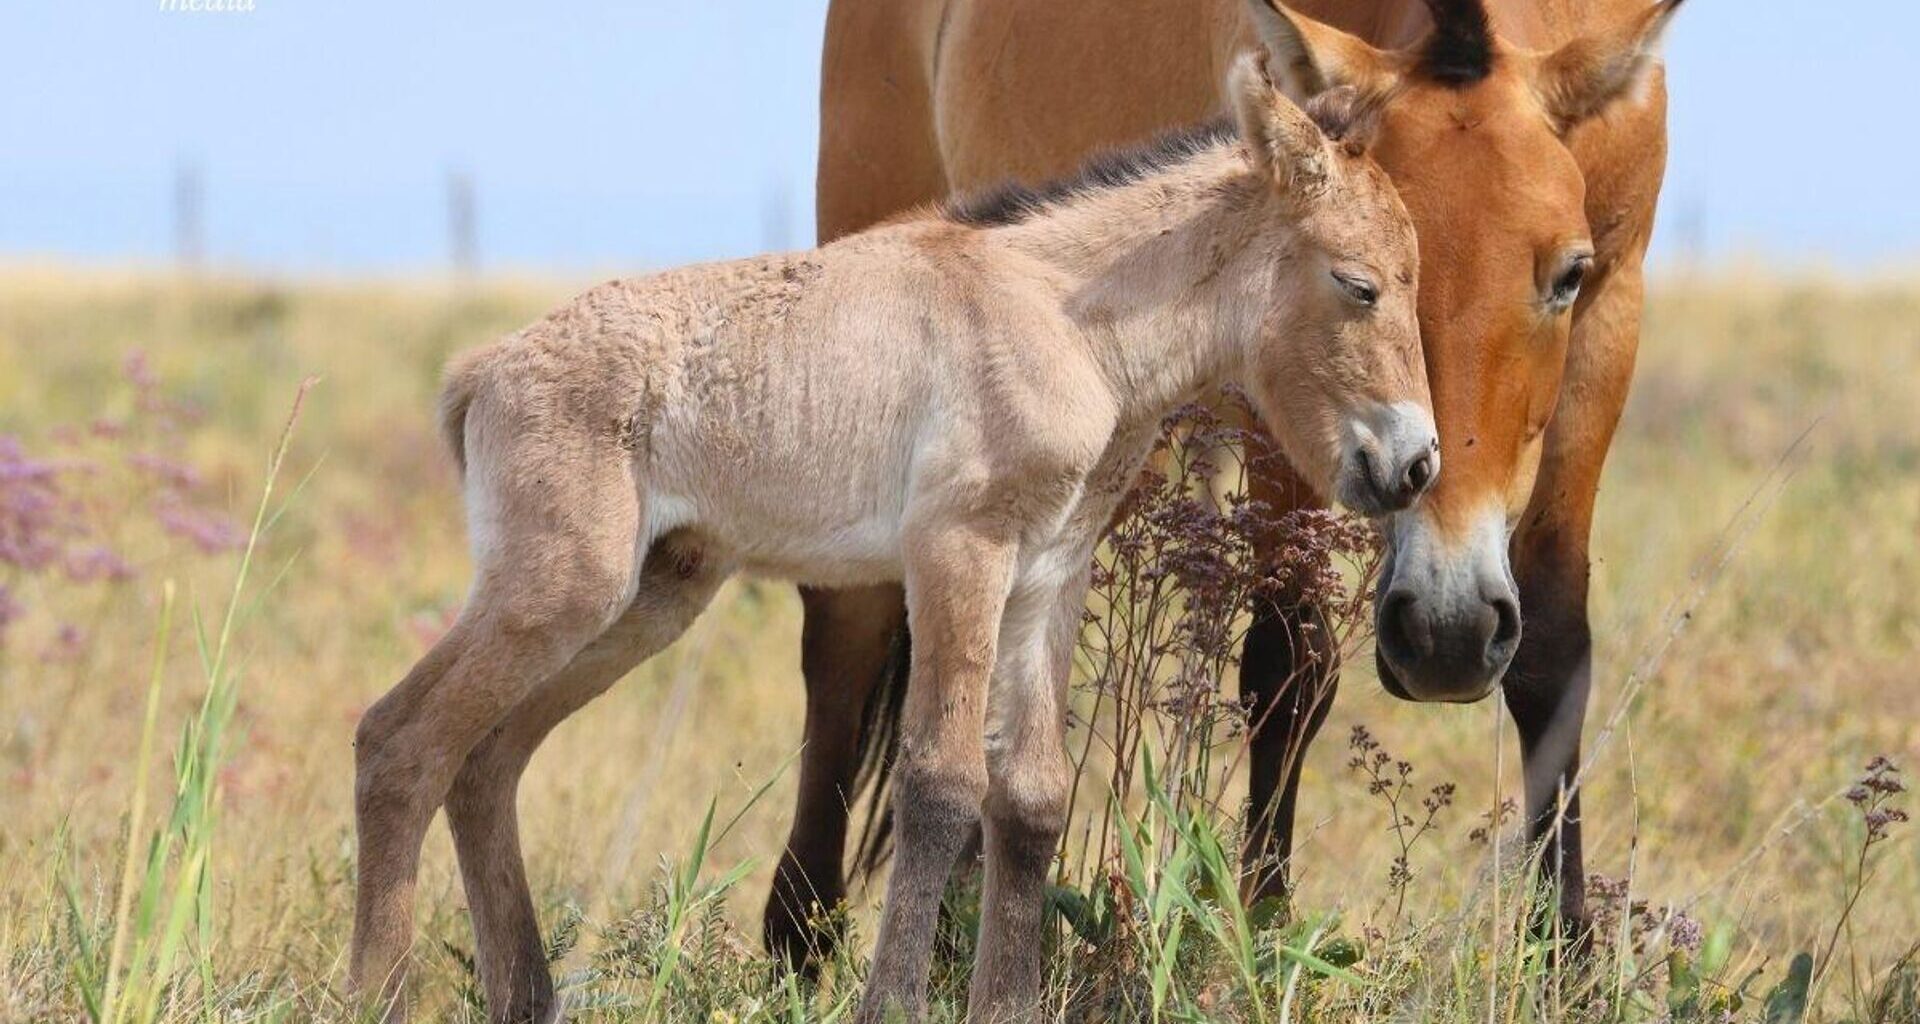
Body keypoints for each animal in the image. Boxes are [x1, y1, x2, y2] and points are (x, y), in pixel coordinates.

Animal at [349, 58, 1435, 1024]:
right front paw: (893, 1002)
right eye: (1359, 286)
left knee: (485, 760)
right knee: (402, 741)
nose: (1414, 465)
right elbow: (942, 781)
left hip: (648, 599)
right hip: (561, 588)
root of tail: (485, 370)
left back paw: (525, 996)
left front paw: (1007, 1006)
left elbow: (1032, 797)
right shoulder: (958, 550)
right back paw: (373, 995)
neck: (1067, 321)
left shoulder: (1048, 574)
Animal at [768, 0, 1686, 966]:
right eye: (1351, 280)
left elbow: (1552, 653)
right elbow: (1290, 665)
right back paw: (805, 933)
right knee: (846, 636)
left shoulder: (1611, 322)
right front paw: (1264, 930)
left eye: (1568, 274)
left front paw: (1567, 954)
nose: (1446, 634)